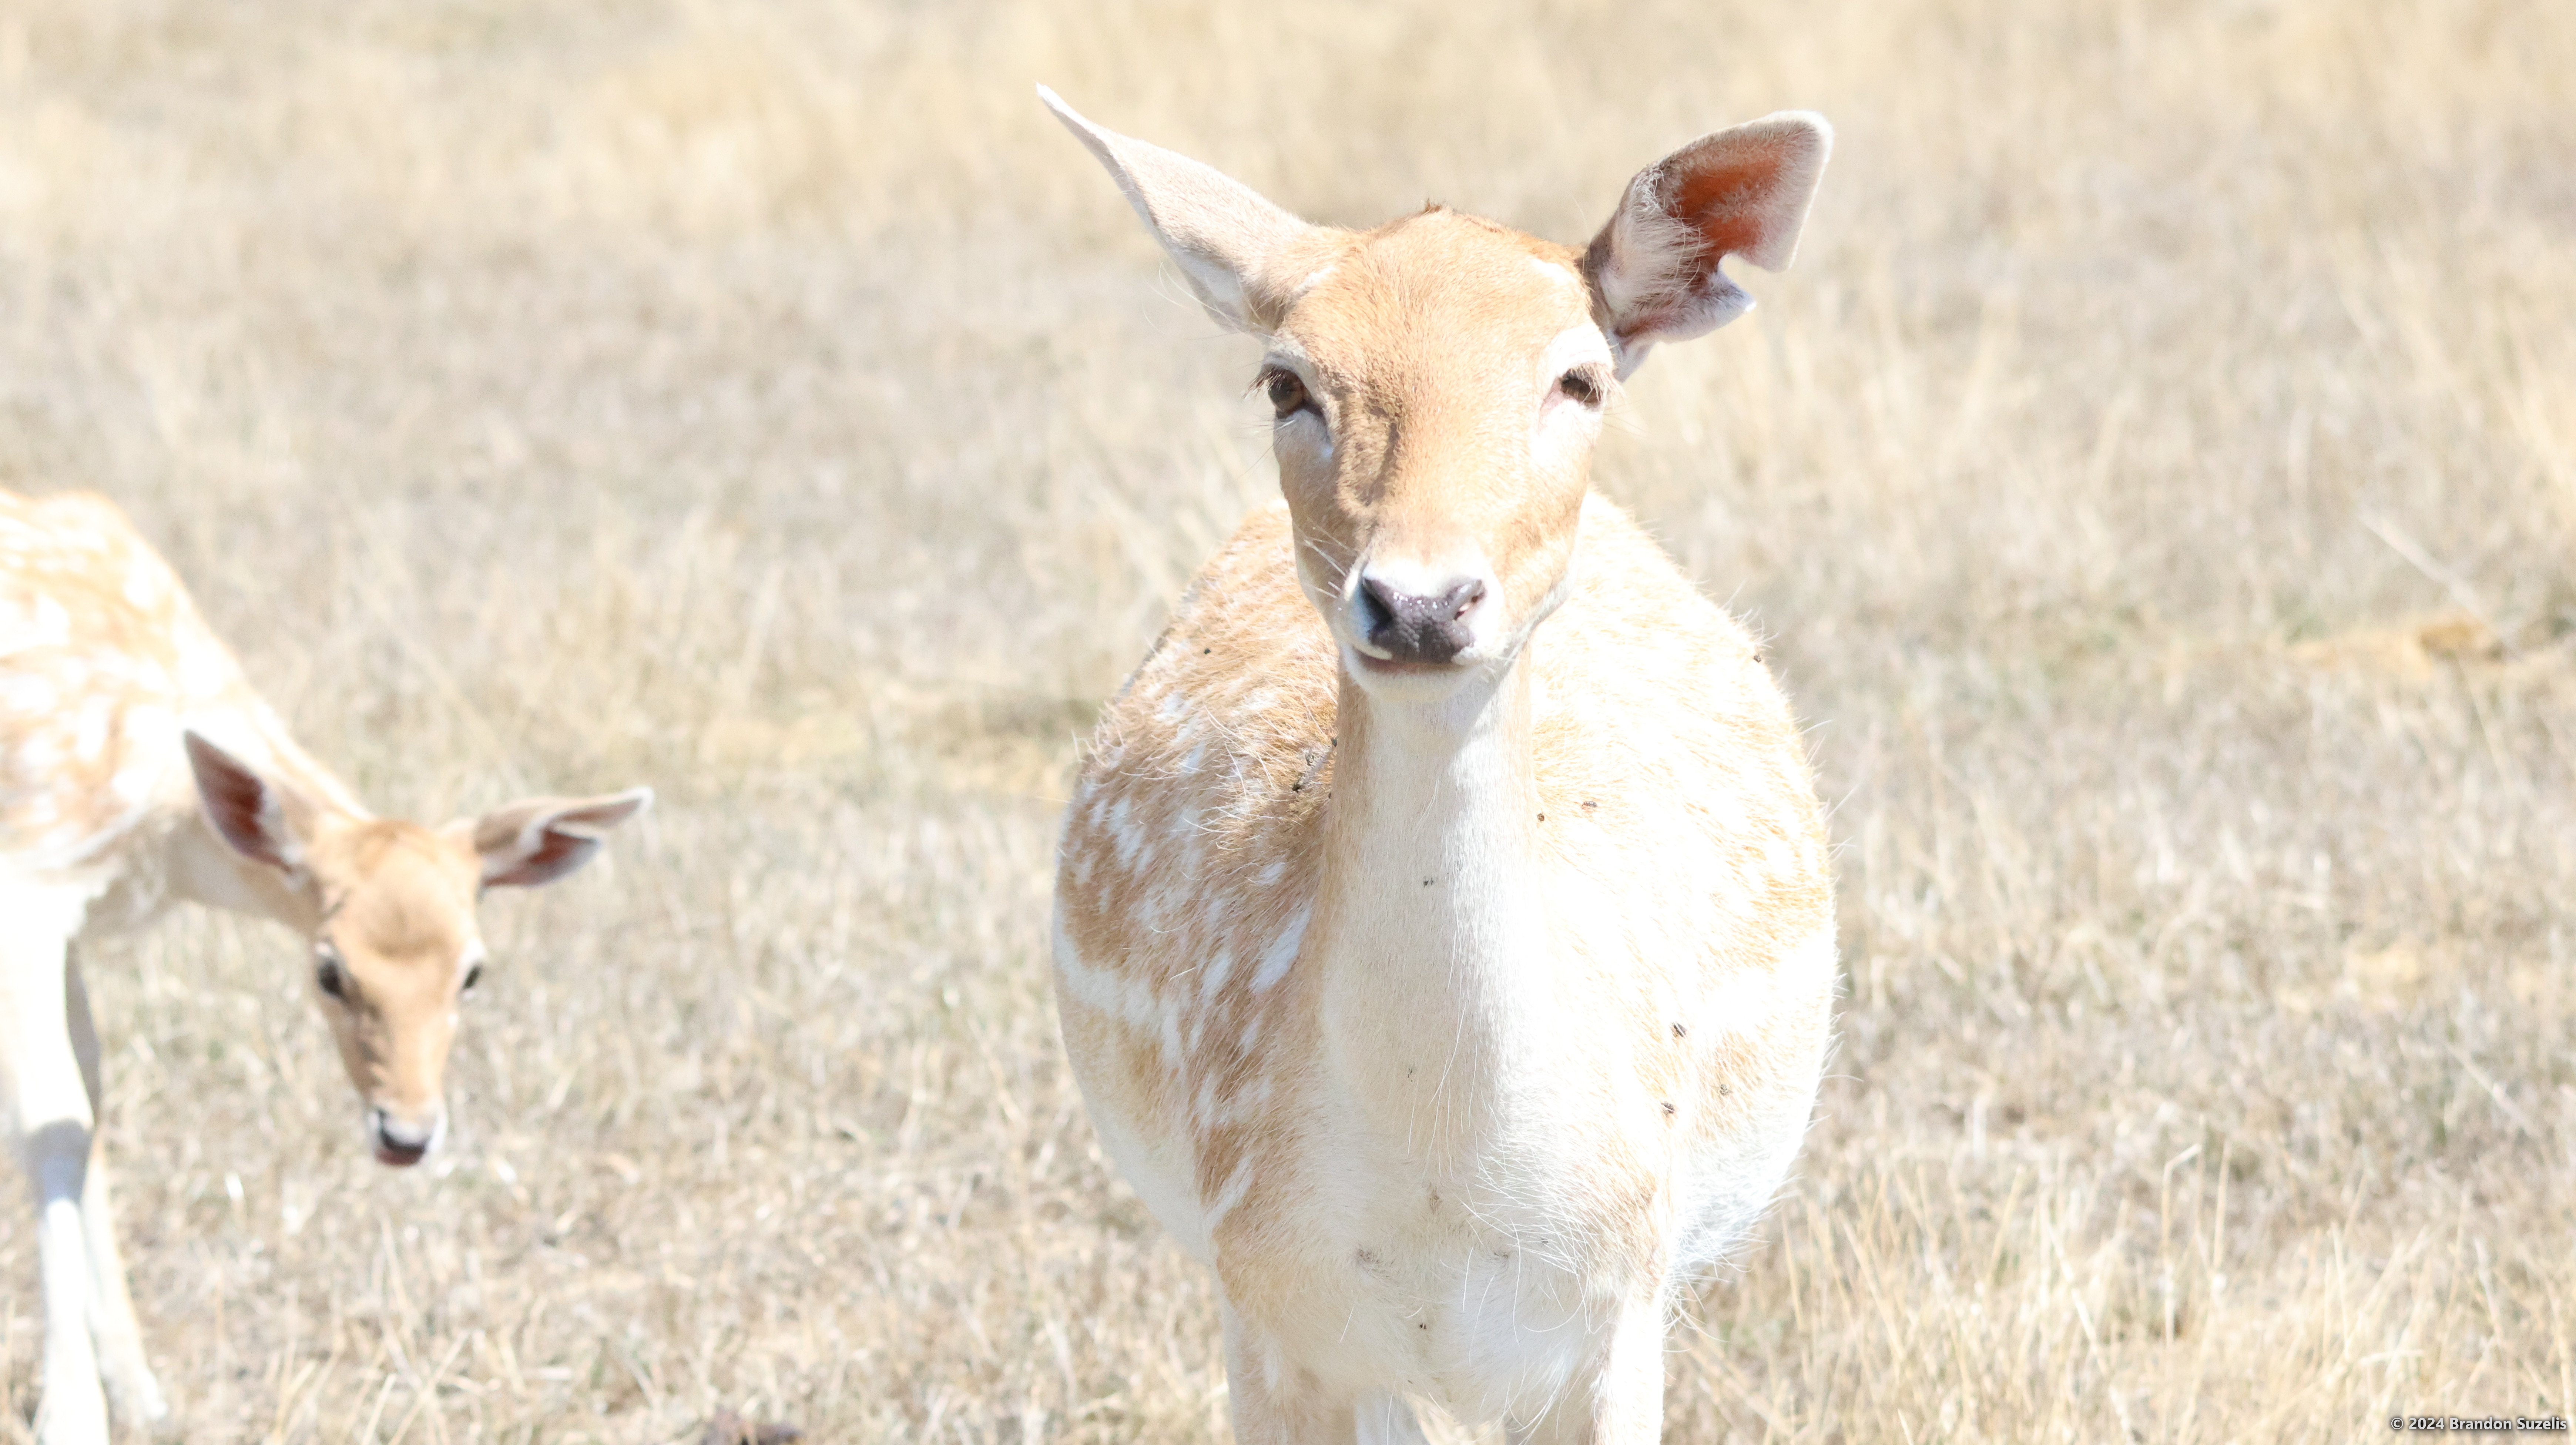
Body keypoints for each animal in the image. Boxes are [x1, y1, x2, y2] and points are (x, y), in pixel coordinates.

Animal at [0, 489, 651, 1445]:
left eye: (473, 971)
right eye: (329, 971)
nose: (407, 1134)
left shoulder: (76, 919)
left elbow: (90, 1105)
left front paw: (143, 1391)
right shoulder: (29, 888)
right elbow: (52, 1121)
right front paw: (71, 1414)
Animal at [1043, 89, 1837, 1443]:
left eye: (1581, 376)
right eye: (1285, 380)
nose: (1418, 602)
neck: (1445, 1197)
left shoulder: (1620, 1308)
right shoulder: (1269, 1305)